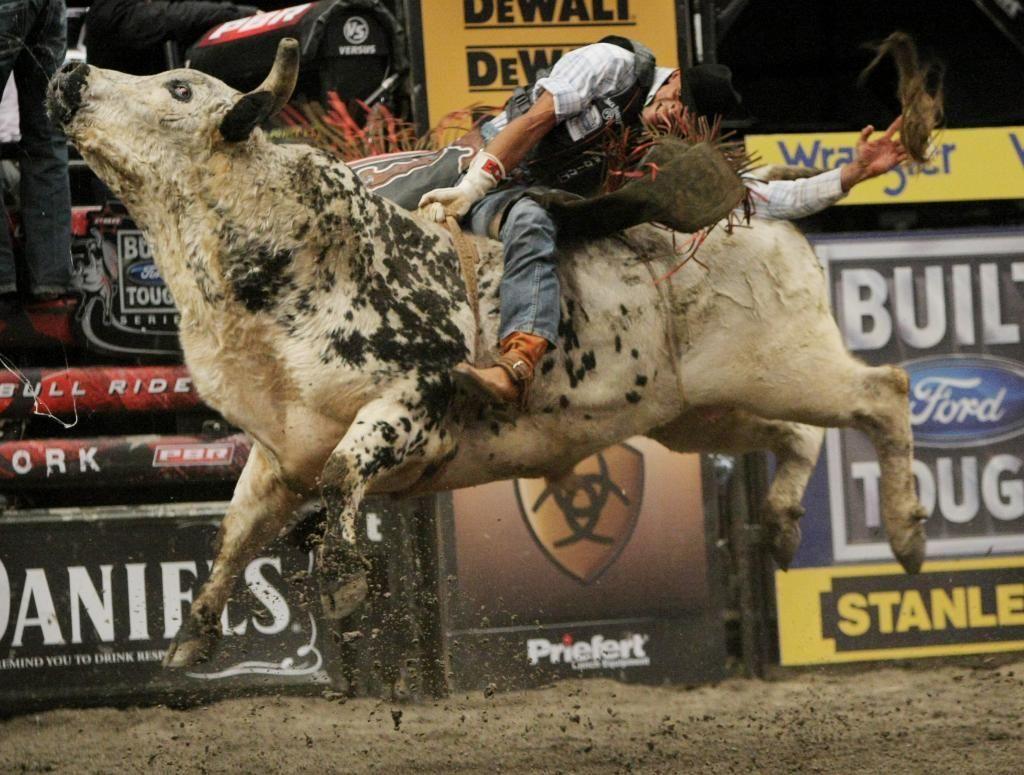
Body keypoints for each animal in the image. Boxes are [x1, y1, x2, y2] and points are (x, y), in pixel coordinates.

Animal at [47, 40, 927, 669]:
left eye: (180, 89)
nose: (71, 69)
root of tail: (761, 210)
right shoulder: (278, 449)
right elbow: (235, 531)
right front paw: (191, 638)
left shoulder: (414, 405)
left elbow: (345, 475)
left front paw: (343, 582)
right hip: (699, 412)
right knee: (794, 435)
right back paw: (780, 526)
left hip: (789, 360)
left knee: (882, 390)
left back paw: (909, 533)